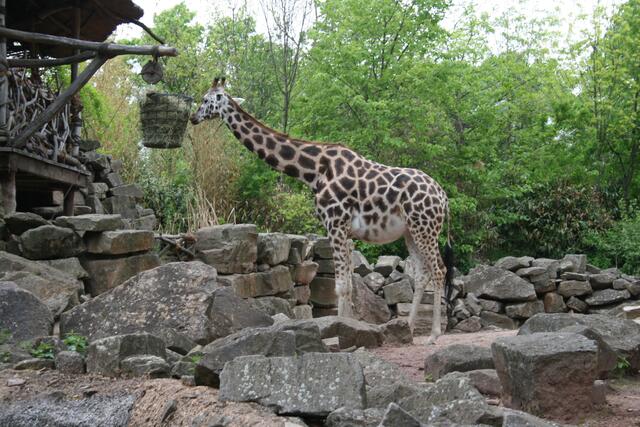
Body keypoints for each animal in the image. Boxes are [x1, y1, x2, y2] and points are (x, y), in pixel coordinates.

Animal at [190, 77, 453, 343]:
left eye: (205, 99)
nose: (193, 118)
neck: (313, 170)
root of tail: (443, 197)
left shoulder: (335, 223)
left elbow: (342, 286)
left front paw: (345, 331)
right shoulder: (343, 230)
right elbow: (348, 285)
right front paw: (351, 329)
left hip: (425, 228)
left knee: (439, 270)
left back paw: (434, 334)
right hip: (411, 231)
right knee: (422, 274)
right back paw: (408, 328)